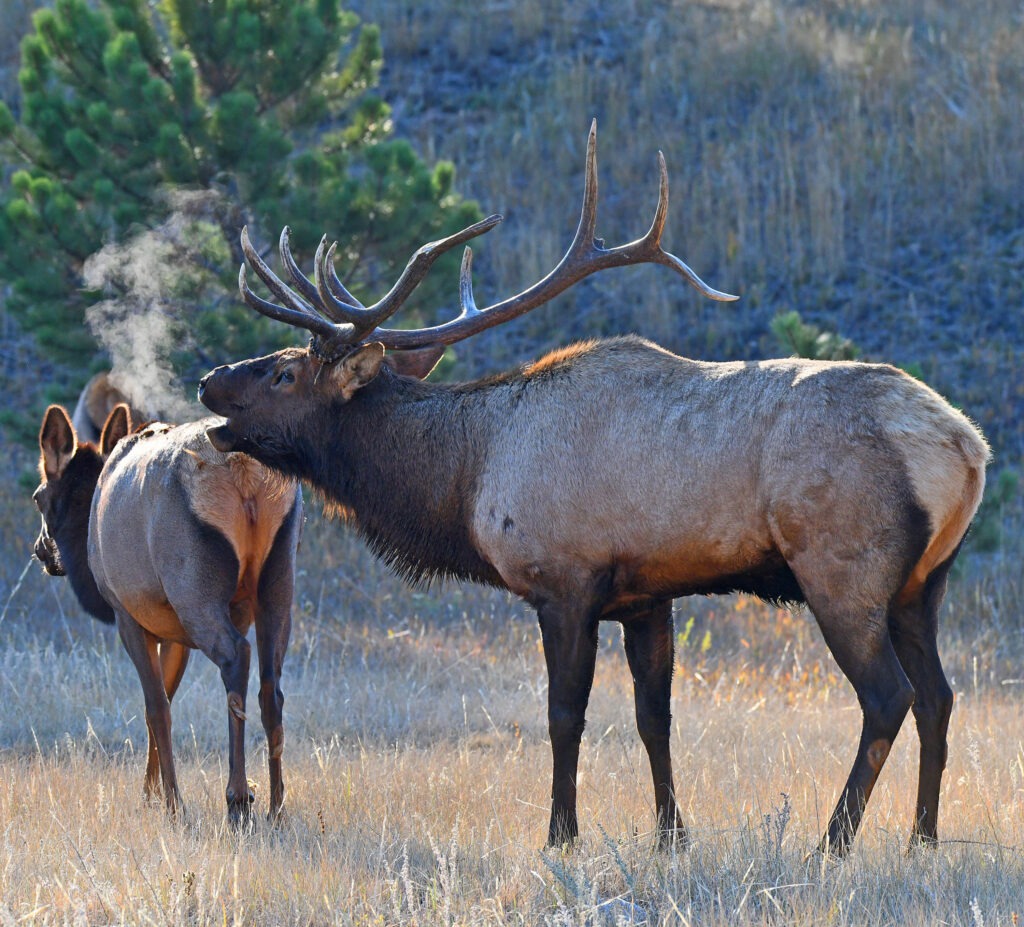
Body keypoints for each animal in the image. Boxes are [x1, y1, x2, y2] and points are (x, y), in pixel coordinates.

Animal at [33, 401, 303, 819]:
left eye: (39, 496)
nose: (41, 551)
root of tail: (243, 473)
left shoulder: (127, 614)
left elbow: (156, 707)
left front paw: (171, 803)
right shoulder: (172, 631)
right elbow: (163, 702)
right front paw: (150, 791)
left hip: (192, 585)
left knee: (235, 656)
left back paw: (238, 798)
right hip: (278, 576)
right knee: (271, 684)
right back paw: (276, 807)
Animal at [195, 122, 987, 852]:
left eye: (283, 372)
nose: (208, 380)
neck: (469, 475)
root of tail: (964, 446)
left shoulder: (565, 580)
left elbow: (564, 715)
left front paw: (560, 834)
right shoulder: (647, 594)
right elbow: (653, 717)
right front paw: (670, 835)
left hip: (842, 568)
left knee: (889, 696)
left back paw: (834, 841)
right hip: (924, 581)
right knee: (940, 697)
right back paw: (922, 837)